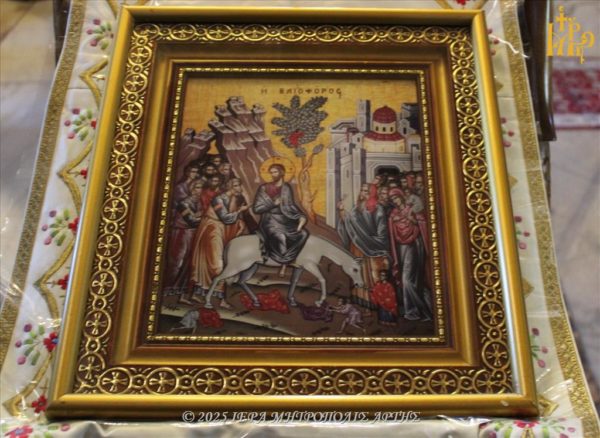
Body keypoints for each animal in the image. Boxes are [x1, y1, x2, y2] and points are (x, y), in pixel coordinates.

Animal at [204, 234, 365, 309]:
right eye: (355, 269)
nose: (360, 285)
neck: (317, 246)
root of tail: (230, 242)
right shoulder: (310, 266)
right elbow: (322, 280)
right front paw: (320, 301)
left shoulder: (299, 268)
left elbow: (294, 282)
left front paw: (291, 300)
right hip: (237, 266)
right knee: (217, 279)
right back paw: (208, 303)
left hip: (251, 266)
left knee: (242, 281)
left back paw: (256, 301)